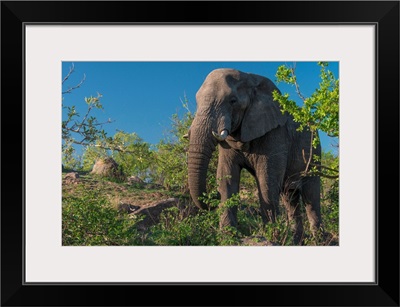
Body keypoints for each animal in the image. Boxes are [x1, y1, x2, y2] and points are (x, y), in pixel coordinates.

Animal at [187, 68, 322, 245]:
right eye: (197, 101)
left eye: (233, 101)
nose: (213, 195)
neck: (250, 79)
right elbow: (226, 178)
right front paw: (227, 238)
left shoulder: (275, 133)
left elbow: (267, 181)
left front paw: (270, 238)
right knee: (290, 198)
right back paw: (295, 242)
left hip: (314, 153)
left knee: (311, 198)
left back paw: (319, 241)